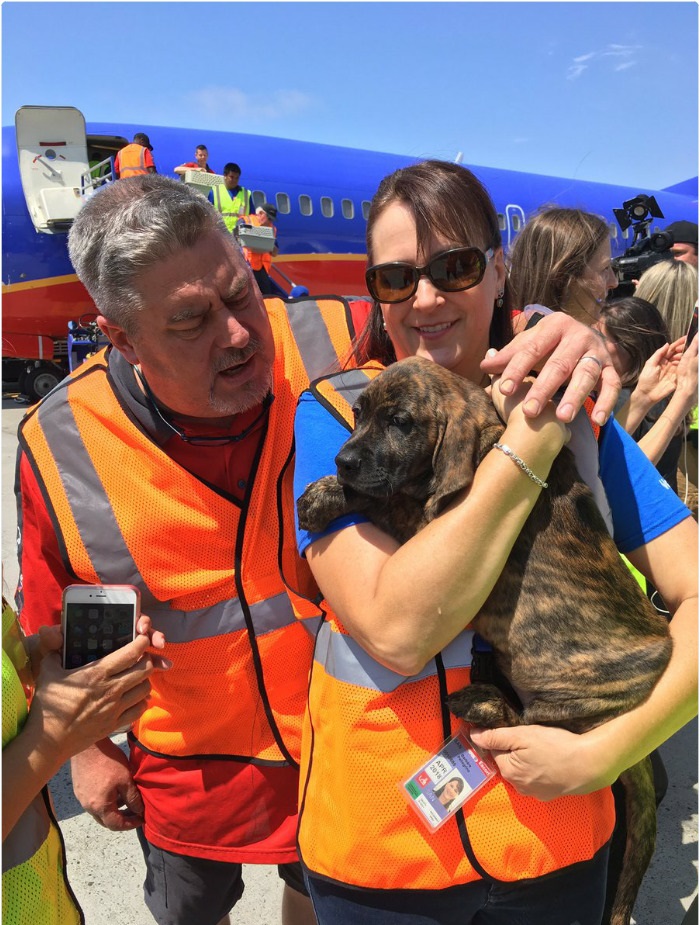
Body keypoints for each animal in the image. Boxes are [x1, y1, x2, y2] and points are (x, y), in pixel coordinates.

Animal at [298, 354, 676, 924]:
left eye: (400, 422)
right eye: (359, 413)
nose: (342, 461)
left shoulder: (426, 520)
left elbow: (387, 497)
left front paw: (326, 496)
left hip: (580, 696)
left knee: (538, 725)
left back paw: (483, 703)